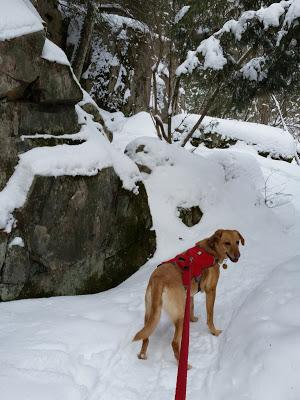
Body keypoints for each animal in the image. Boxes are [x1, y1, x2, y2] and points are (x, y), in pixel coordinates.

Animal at [132, 228, 245, 362]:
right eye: (227, 243)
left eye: (237, 242)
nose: (238, 256)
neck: (211, 250)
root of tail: (158, 279)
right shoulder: (211, 291)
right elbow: (210, 316)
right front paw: (214, 332)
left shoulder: (189, 295)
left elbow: (191, 306)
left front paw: (192, 319)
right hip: (179, 315)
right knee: (174, 342)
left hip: (150, 314)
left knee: (146, 337)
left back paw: (142, 355)